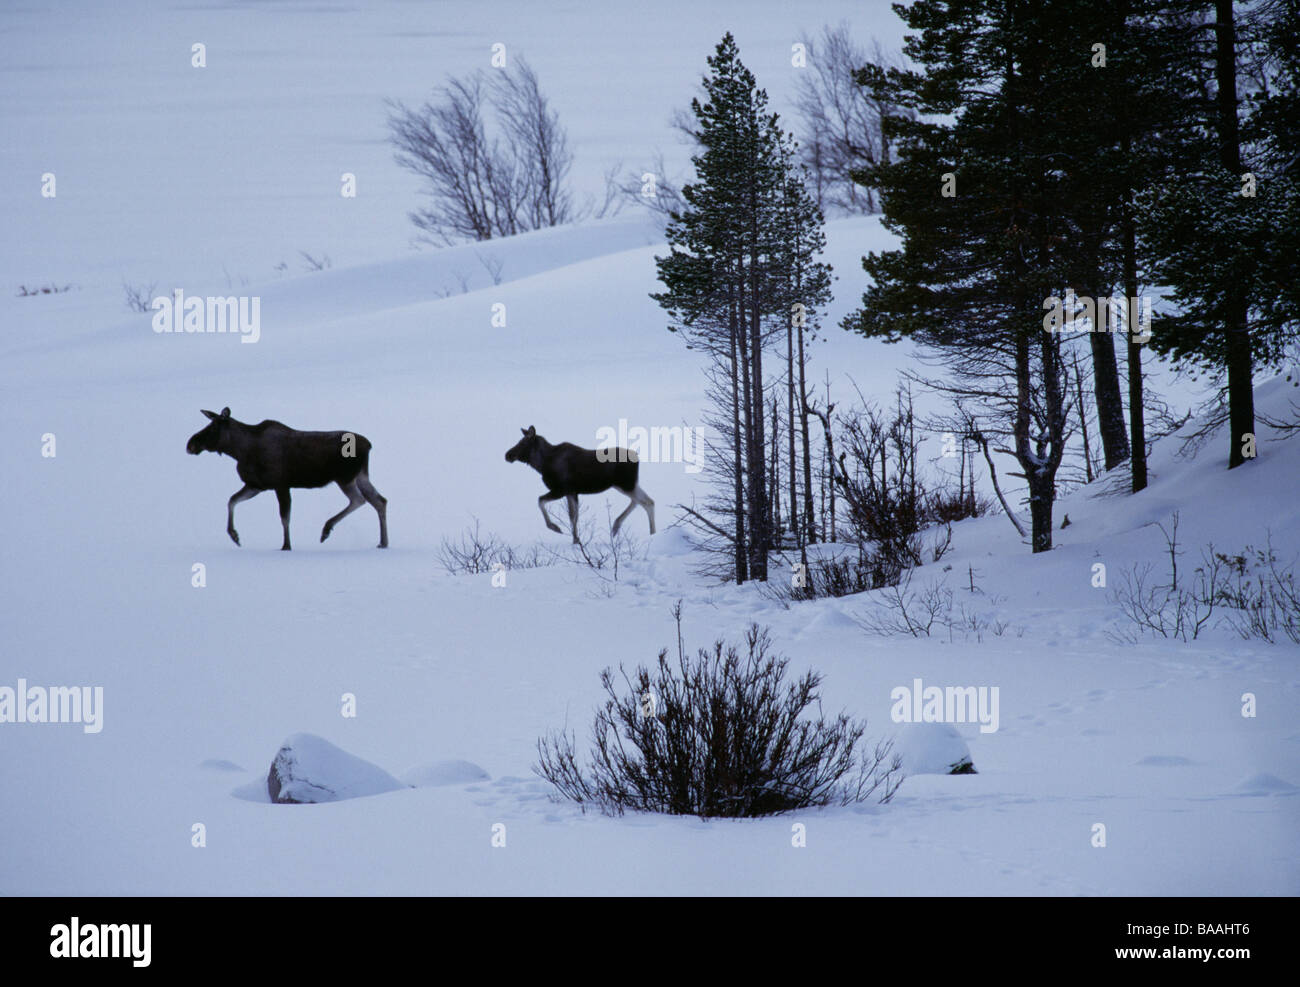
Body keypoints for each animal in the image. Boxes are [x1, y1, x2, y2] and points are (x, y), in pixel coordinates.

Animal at [185, 405, 384, 551]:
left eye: (213, 428)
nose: (190, 444)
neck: (240, 452)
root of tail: (369, 445)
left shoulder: (280, 484)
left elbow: (284, 517)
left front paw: (286, 546)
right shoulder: (256, 485)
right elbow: (232, 500)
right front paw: (234, 535)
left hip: (345, 477)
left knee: (359, 500)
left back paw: (326, 529)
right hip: (360, 476)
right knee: (379, 500)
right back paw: (383, 542)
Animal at [501, 426, 655, 548]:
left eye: (523, 442)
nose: (508, 455)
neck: (542, 464)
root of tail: (638, 458)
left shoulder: (562, 490)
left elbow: (541, 501)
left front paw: (556, 528)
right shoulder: (573, 492)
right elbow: (573, 516)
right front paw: (576, 540)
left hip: (626, 484)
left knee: (646, 502)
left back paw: (648, 532)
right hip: (626, 484)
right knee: (642, 501)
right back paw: (621, 527)